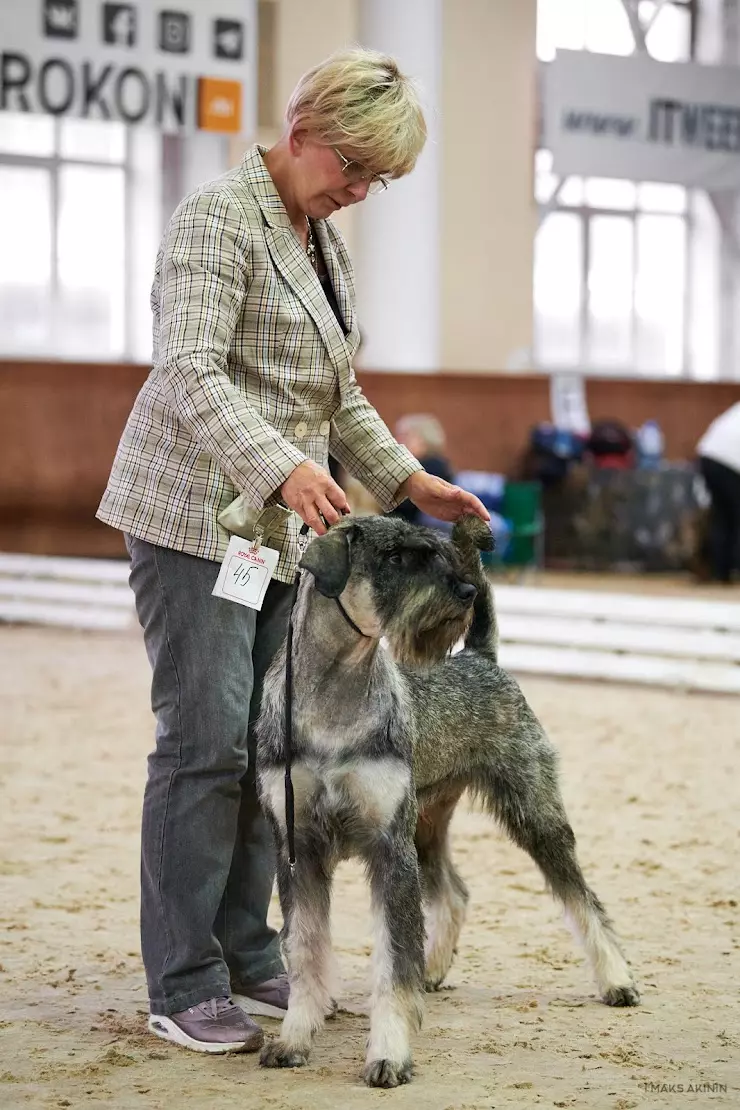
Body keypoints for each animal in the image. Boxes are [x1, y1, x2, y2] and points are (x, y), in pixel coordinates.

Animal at [257, 515, 639, 1087]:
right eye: (395, 557)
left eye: (434, 551)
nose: (464, 591)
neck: (335, 698)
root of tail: (480, 658)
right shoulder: (297, 849)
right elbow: (304, 950)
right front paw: (294, 1038)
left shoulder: (389, 850)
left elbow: (393, 963)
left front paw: (388, 1054)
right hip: (427, 826)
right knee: (453, 893)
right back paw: (434, 970)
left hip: (534, 815)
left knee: (581, 899)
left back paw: (617, 980)